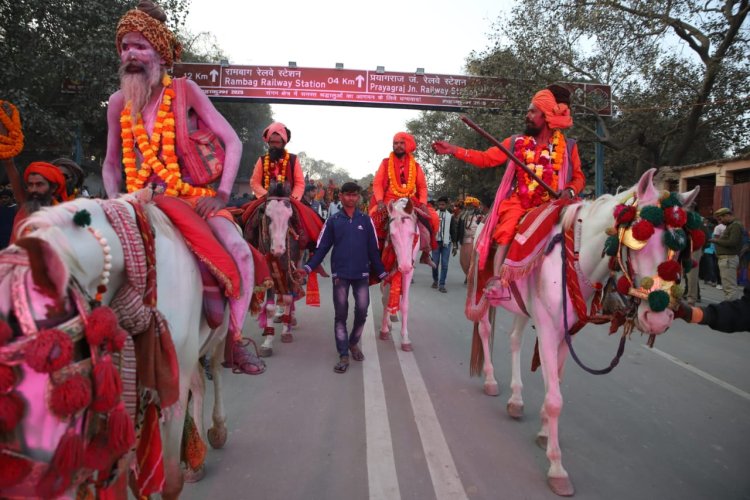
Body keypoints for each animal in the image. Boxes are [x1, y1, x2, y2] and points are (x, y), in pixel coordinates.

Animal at [0, 198, 239, 500]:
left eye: (49, 357)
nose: (25, 483)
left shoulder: (173, 381)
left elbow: (171, 481)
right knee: (199, 384)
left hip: (219, 335)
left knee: (216, 372)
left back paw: (217, 430)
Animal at [378, 198, 420, 352]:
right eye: (393, 235)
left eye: (413, 234)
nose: (404, 266)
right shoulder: (384, 267)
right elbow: (385, 298)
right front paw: (384, 329)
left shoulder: (410, 268)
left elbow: (405, 304)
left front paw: (405, 339)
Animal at [468, 169, 704, 496]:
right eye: (638, 237)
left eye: (680, 246)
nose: (658, 316)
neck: (577, 257)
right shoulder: (548, 328)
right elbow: (556, 399)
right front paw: (556, 468)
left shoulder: (566, 331)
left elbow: (555, 385)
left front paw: (544, 432)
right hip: (483, 288)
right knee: (485, 328)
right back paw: (491, 380)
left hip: (523, 307)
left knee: (514, 340)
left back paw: (516, 400)